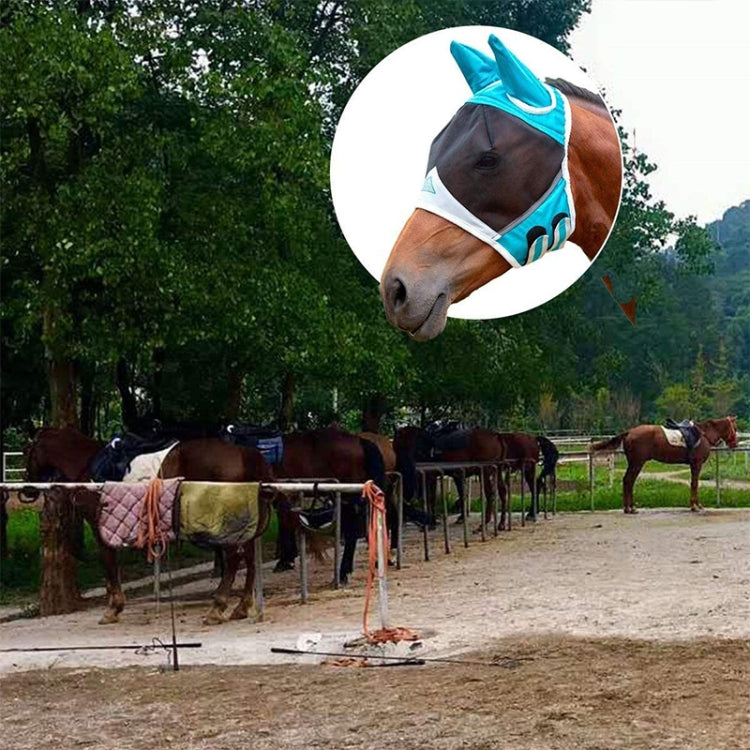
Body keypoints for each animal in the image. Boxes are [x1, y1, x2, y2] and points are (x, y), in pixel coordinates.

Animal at [25, 427, 273, 625]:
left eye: (28, 451)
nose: (28, 491)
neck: (88, 468)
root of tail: (243, 453)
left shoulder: (99, 527)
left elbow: (108, 563)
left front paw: (113, 608)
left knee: (233, 558)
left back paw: (217, 608)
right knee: (248, 556)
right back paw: (242, 607)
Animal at [273, 427, 388, 584]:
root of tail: (359, 440)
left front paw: (286, 559)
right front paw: (287, 559)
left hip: (347, 494)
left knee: (351, 529)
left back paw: (343, 572)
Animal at [589, 416, 738, 513]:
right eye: (735, 427)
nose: (734, 444)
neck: (703, 435)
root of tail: (629, 432)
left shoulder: (693, 465)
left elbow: (693, 483)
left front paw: (694, 505)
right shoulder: (696, 464)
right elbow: (695, 484)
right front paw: (696, 506)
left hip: (634, 463)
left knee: (628, 481)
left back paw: (629, 507)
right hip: (637, 463)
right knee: (629, 481)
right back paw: (630, 508)